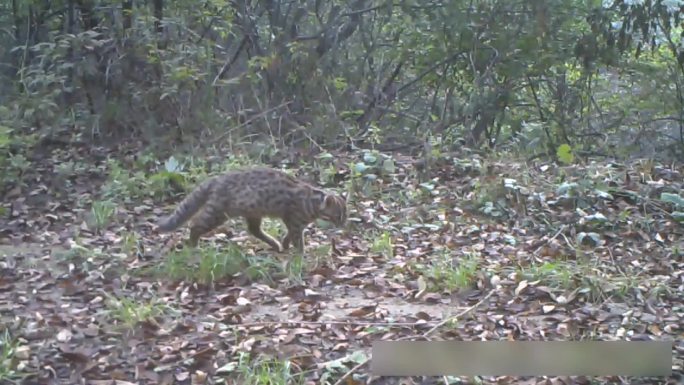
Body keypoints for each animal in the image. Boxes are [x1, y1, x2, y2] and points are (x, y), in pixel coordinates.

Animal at [156, 166, 348, 252]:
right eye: (338, 216)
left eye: (345, 216)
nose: (343, 225)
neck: (312, 203)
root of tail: (216, 179)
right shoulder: (293, 220)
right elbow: (297, 239)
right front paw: (300, 254)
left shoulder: (294, 223)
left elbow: (289, 235)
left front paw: (285, 245)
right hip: (218, 212)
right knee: (195, 224)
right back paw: (193, 246)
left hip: (253, 212)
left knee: (254, 230)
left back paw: (274, 243)